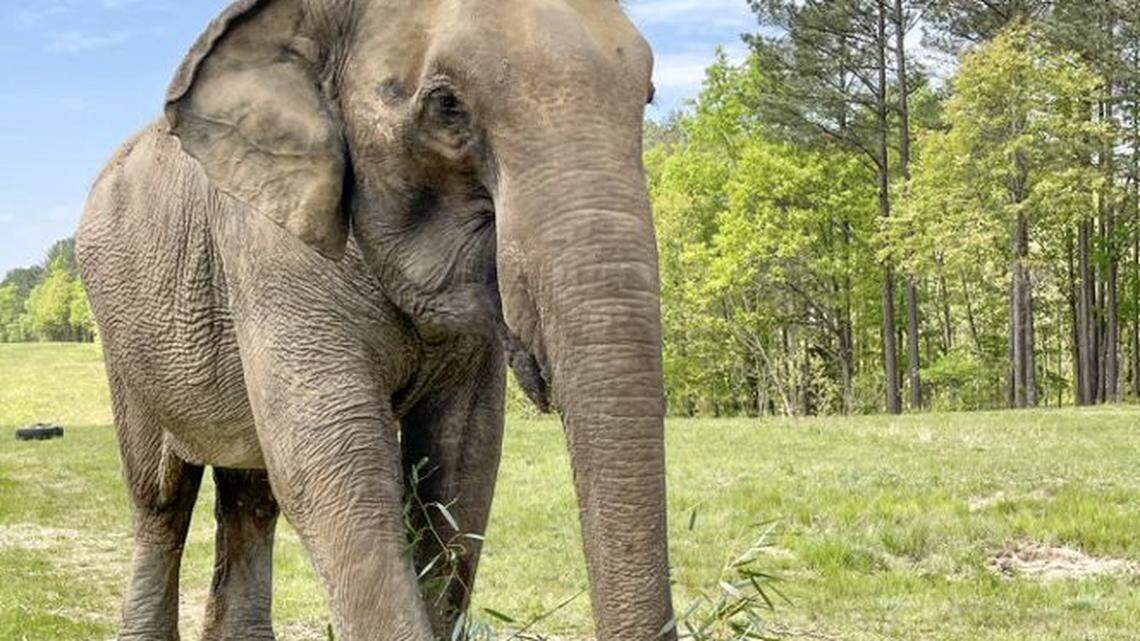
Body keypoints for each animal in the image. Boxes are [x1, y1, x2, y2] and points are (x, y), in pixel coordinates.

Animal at [76, 0, 674, 639]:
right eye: (446, 106)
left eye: (648, 96)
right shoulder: (269, 244)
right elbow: (336, 465)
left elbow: (462, 469)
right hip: (120, 336)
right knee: (161, 497)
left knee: (250, 494)